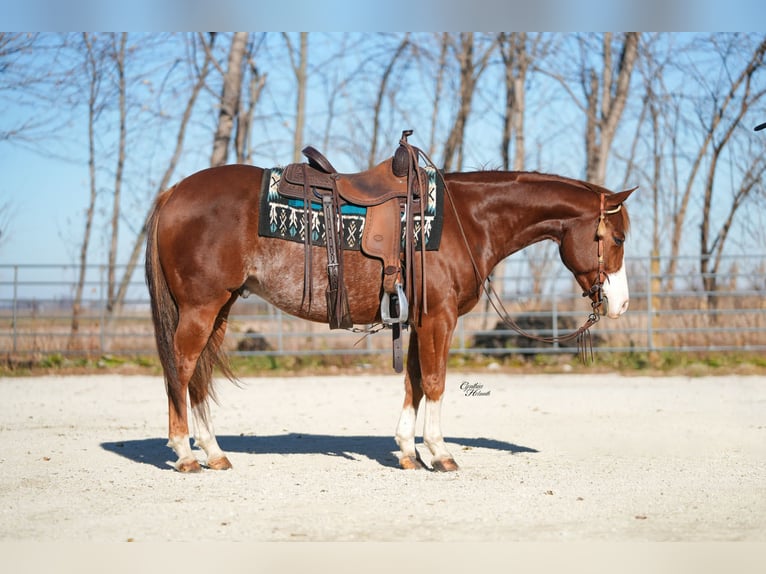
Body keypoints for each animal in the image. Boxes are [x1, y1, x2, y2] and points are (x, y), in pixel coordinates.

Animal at [145, 163, 635, 472]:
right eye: (618, 237)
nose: (621, 305)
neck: (467, 220)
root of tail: (174, 193)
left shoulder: (417, 321)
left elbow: (414, 381)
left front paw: (406, 452)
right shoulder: (438, 319)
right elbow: (434, 382)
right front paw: (439, 453)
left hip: (221, 308)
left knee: (199, 374)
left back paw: (213, 452)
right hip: (201, 307)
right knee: (182, 368)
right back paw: (185, 454)